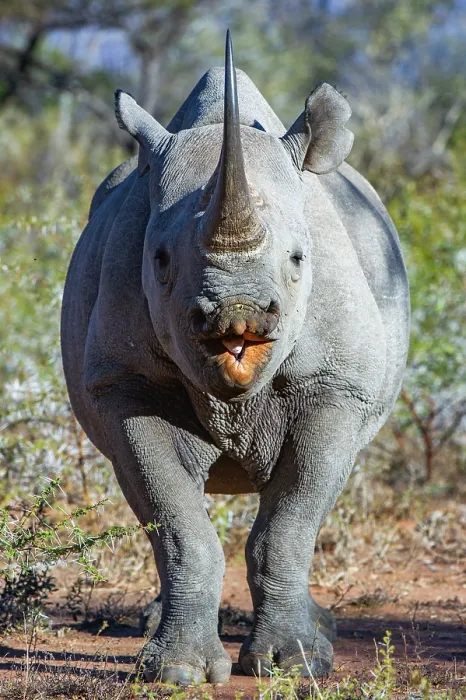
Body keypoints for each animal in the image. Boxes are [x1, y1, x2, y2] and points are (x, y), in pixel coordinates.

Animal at [61, 31, 409, 685]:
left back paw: (321, 632)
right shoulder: (125, 385)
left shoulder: (337, 388)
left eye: (298, 259)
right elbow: (177, 525)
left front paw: (296, 663)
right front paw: (176, 672)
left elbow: (290, 525)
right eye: (161, 260)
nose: (237, 312)